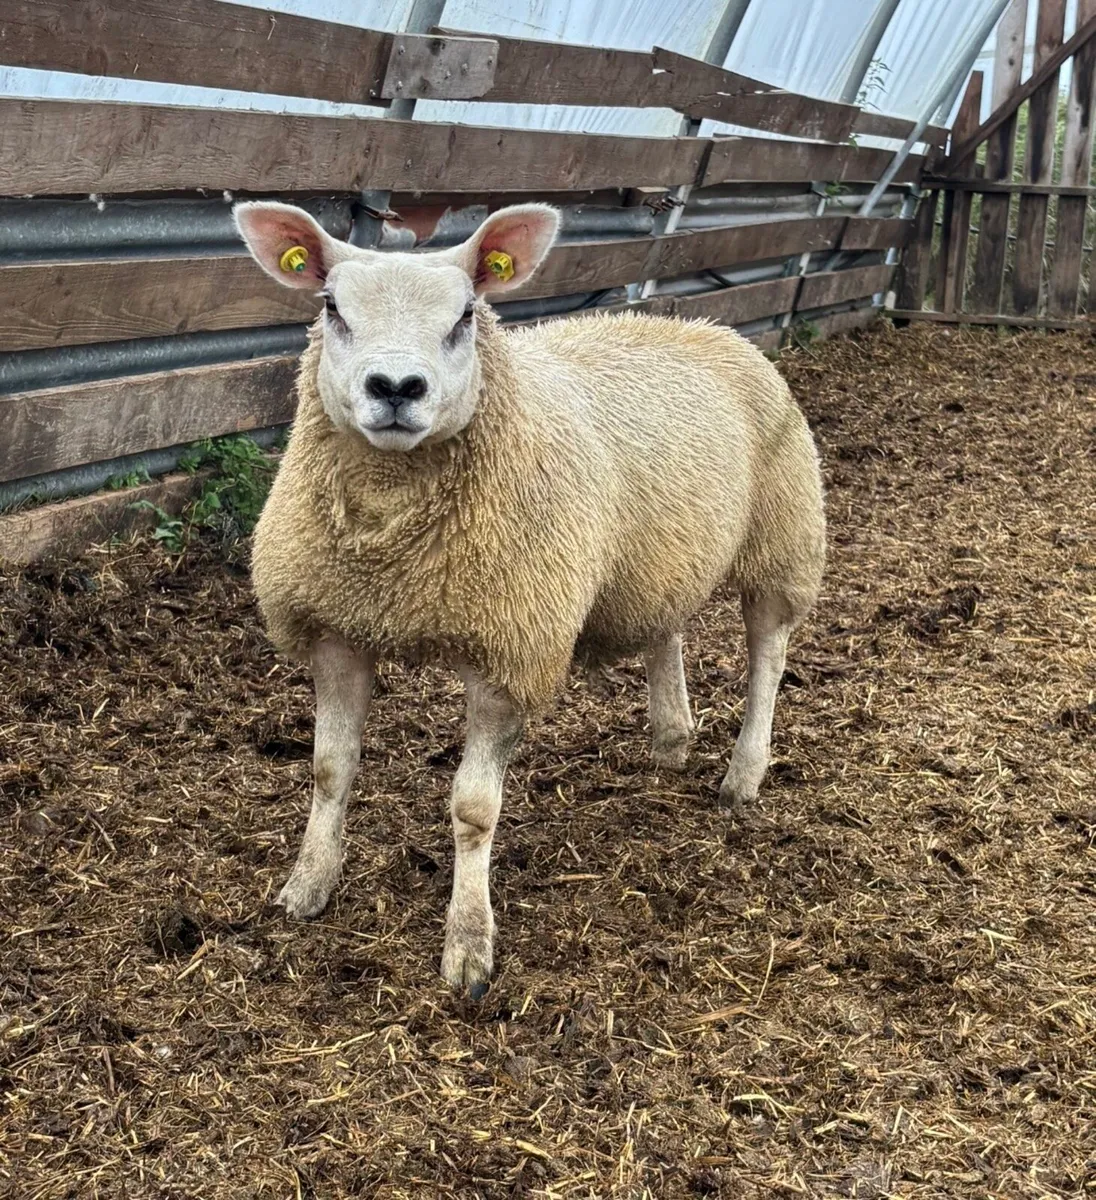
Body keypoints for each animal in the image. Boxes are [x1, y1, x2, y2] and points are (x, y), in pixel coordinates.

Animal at [233, 199, 825, 996]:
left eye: (465, 315)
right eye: (331, 307)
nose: (395, 388)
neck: (391, 545)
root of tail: (698, 324)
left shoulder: (510, 652)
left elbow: (474, 809)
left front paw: (468, 946)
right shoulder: (335, 630)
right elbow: (331, 771)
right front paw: (307, 887)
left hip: (783, 535)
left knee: (769, 651)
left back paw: (744, 775)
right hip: (661, 551)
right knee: (666, 628)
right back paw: (672, 740)